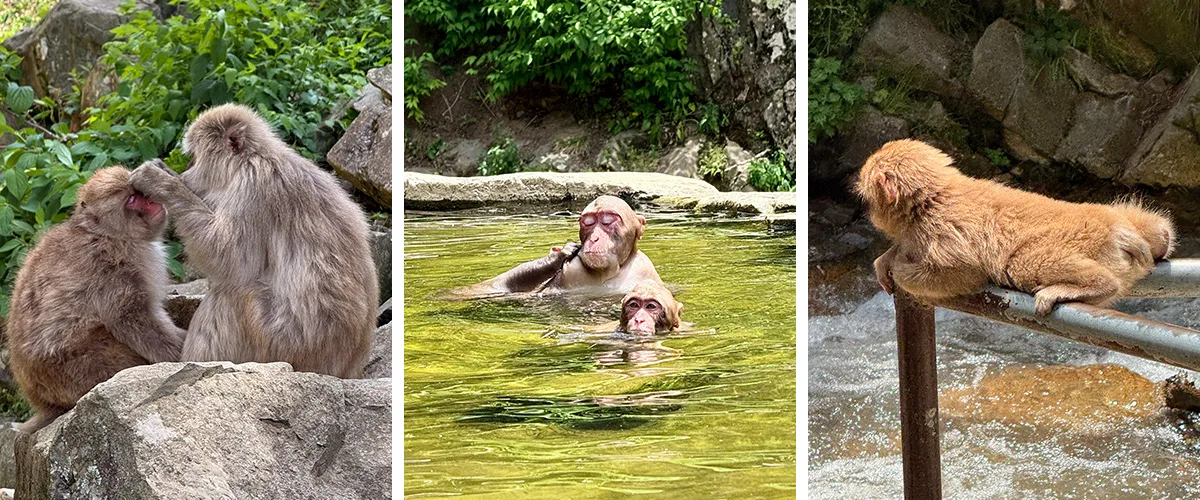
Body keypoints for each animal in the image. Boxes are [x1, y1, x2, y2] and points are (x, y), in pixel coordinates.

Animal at [6, 166, 185, 433]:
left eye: (140, 193)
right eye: (132, 199)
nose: (153, 203)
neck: (109, 235)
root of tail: (43, 403)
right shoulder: (111, 271)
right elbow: (132, 320)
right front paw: (183, 353)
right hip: (77, 372)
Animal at [129, 104, 377, 378]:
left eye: (193, 157)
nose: (186, 171)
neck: (253, 156)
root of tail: (343, 369)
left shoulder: (252, 188)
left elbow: (231, 260)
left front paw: (162, 182)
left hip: (283, 347)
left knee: (233, 294)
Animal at [858, 139, 1174, 315]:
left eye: (870, 200)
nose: (871, 214)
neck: (932, 199)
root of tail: (1119, 229)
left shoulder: (940, 226)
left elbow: (963, 270)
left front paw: (898, 266)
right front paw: (889, 257)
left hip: (1089, 239)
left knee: (1020, 262)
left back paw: (1094, 285)